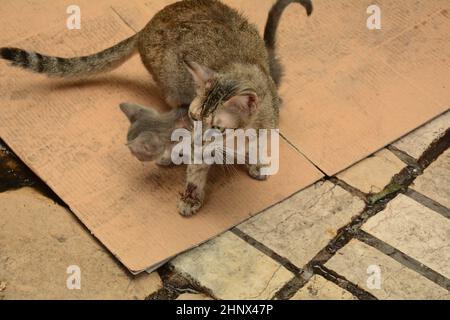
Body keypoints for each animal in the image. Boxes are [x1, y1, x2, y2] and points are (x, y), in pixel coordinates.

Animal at [0, 0, 312, 216]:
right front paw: (191, 195)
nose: (193, 137)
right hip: (171, 86)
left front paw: (256, 162)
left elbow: (258, 145)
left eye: (217, 127)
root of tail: (148, 24)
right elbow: (196, 169)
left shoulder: (265, 125)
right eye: (195, 118)